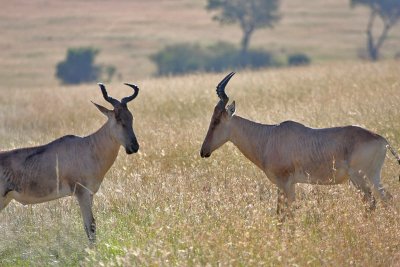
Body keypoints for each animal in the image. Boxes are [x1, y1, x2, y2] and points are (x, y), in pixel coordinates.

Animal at [0, 83, 140, 243]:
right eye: (117, 118)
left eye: (131, 117)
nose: (134, 147)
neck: (88, 147)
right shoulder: (81, 193)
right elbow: (90, 226)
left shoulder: (89, 194)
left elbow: (90, 226)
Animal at [202, 73, 400, 218]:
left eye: (216, 121)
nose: (203, 151)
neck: (269, 136)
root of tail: (382, 140)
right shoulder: (288, 185)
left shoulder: (285, 183)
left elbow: (283, 213)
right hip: (372, 176)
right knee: (387, 199)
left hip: (360, 177)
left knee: (372, 202)